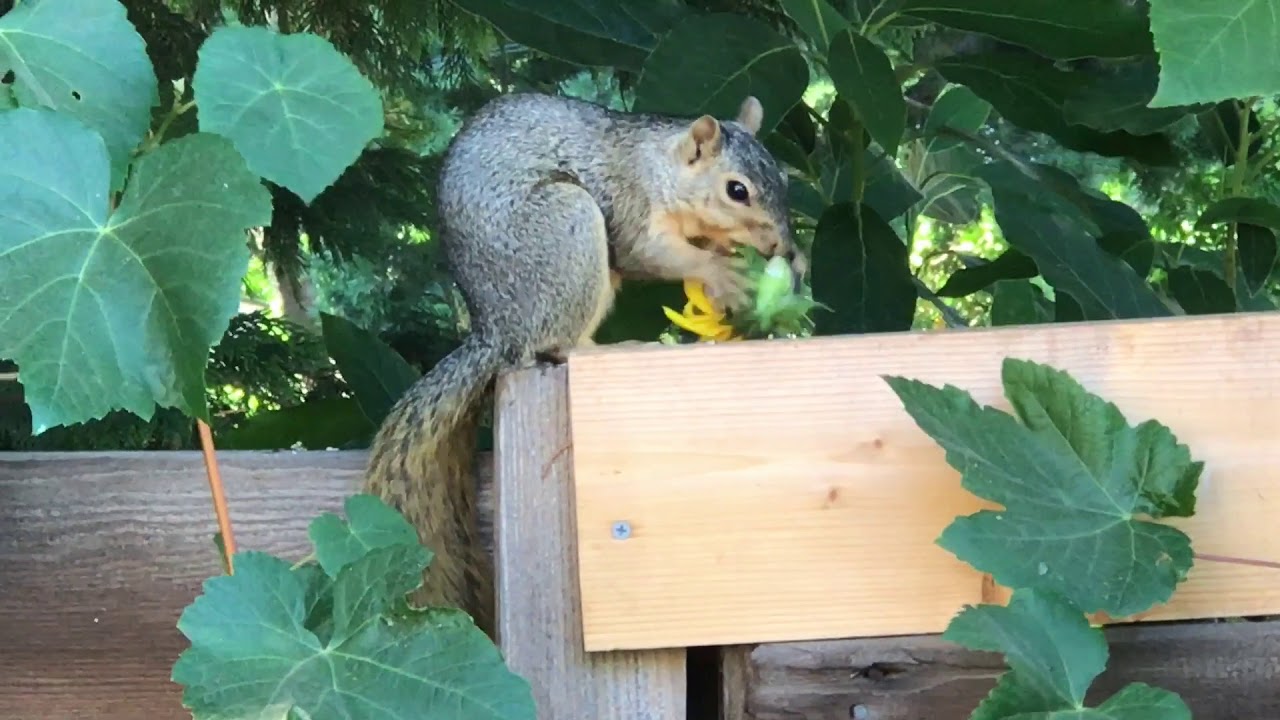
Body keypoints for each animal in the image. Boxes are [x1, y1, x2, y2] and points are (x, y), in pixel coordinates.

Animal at [361, 91, 805, 636]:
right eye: (736, 190)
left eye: (783, 178)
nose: (780, 246)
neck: (658, 163)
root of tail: (497, 333)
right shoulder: (629, 204)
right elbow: (649, 253)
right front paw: (721, 271)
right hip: (566, 229)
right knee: (557, 345)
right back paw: (618, 348)